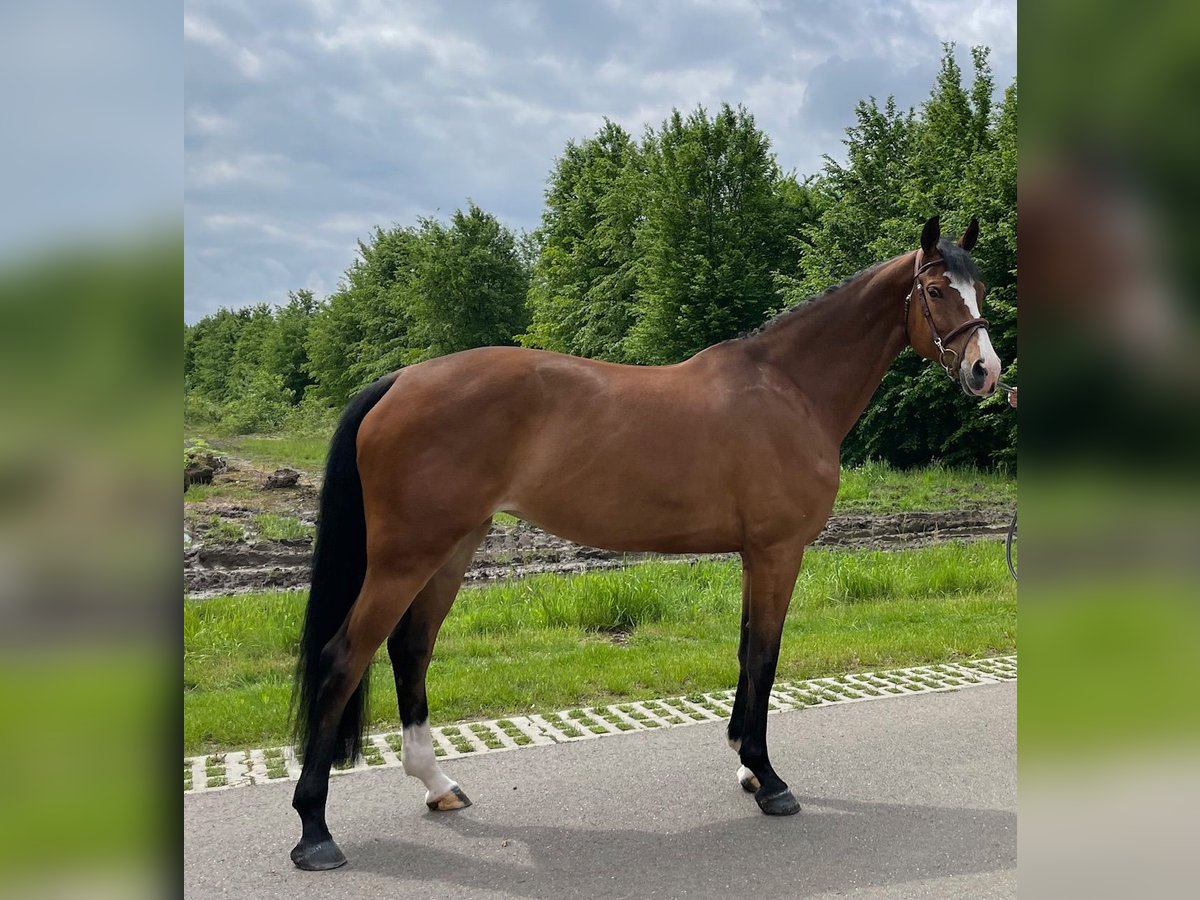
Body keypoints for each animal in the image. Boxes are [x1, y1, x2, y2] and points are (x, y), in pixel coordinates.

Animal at [288, 214, 1003, 868]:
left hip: (453, 548)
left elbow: (746, 651)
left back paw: (437, 785)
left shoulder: (754, 556)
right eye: (936, 290)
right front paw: (769, 780)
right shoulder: (779, 552)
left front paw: (746, 767)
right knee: (343, 660)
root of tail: (400, 379)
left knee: (410, 650)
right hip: (406, 557)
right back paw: (315, 831)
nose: (985, 371)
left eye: (983, 288)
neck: (790, 389)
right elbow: (765, 658)